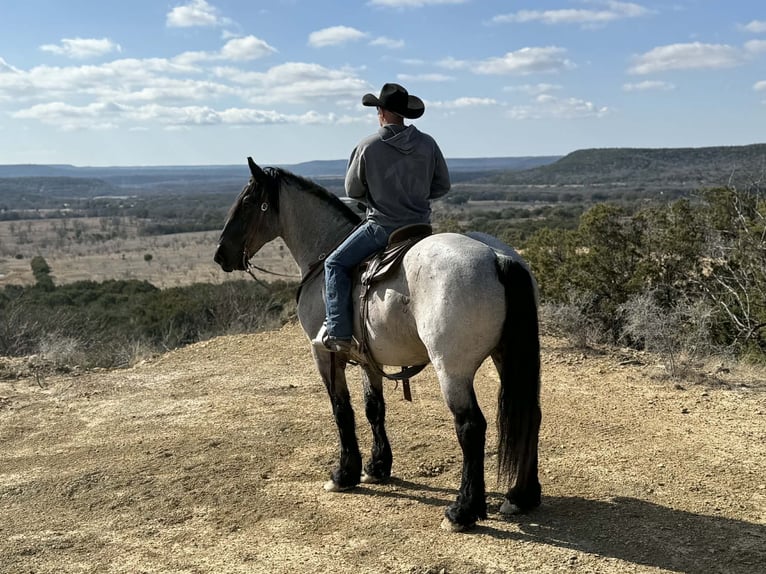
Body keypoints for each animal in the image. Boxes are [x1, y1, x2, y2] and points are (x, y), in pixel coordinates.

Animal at [214, 157, 542, 531]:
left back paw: (463, 510)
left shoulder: (324, 354)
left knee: (471, 427)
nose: (221, 254)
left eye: (247, 202)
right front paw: (377, 467)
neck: (323, 256)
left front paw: (344, 474)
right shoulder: (368, 359)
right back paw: (521, 496)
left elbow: (341, 410)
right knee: (531, 414)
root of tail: (497, 258)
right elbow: (374, 408)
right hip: (508, 357)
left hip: (452, 369)